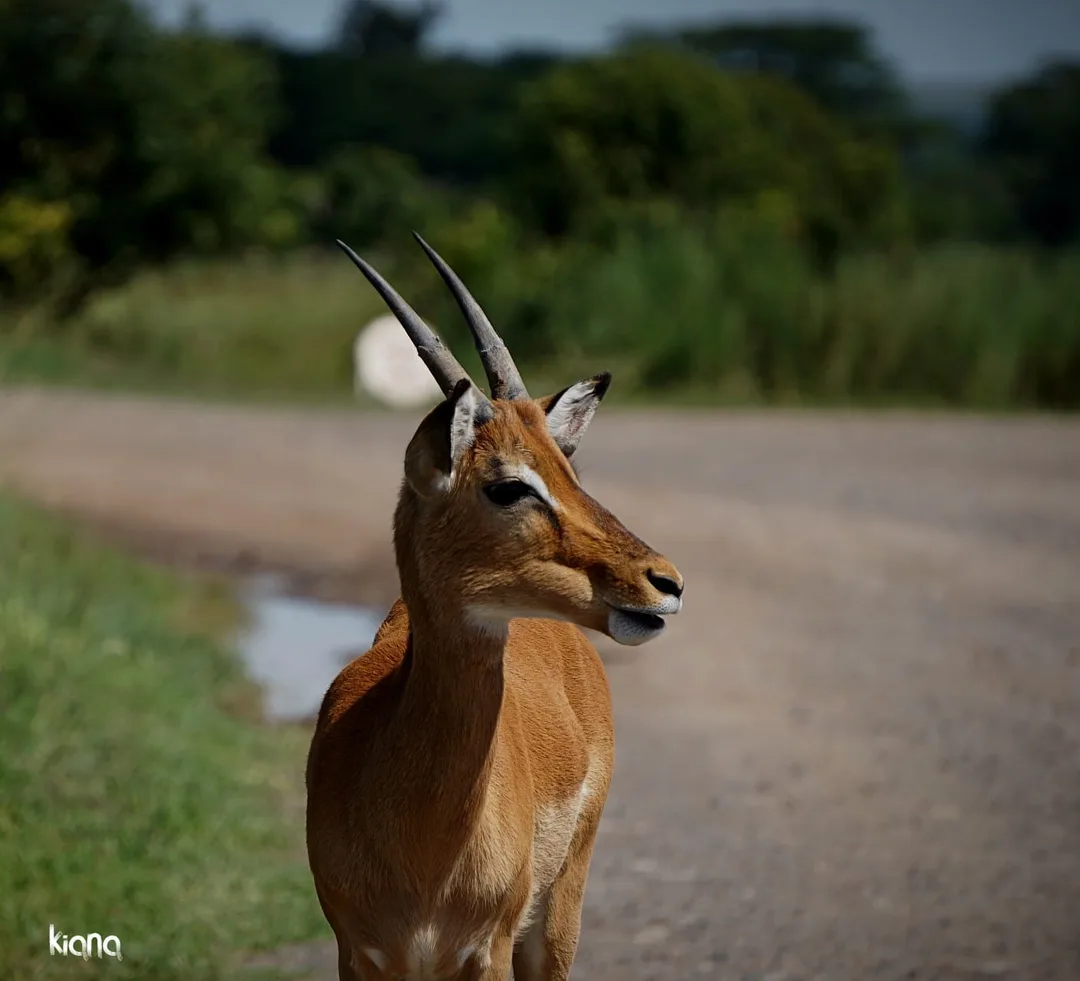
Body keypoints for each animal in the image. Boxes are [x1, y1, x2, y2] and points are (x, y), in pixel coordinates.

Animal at [306, 233, 685, 981]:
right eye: (509, 484)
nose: (666, 581)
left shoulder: (490, 950)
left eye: (569, 470)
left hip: (558, 915)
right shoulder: (358, 954)